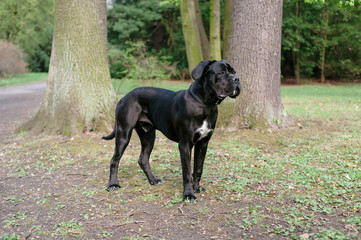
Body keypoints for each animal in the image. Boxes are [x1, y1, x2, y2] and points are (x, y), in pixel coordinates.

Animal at [102, 59, 240, 201]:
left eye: (234, 72)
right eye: (221, 73)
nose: (237, 79)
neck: (205, 104)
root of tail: (124, 97)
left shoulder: (203, 143)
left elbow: (198, 169)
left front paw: (196, 188)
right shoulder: (185, 144)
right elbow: (187, 171)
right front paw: (188, 194)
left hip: (148, 135)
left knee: (143, 159)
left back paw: (153, 180)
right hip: (124, 133)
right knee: (114, 160)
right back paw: (113, 184)